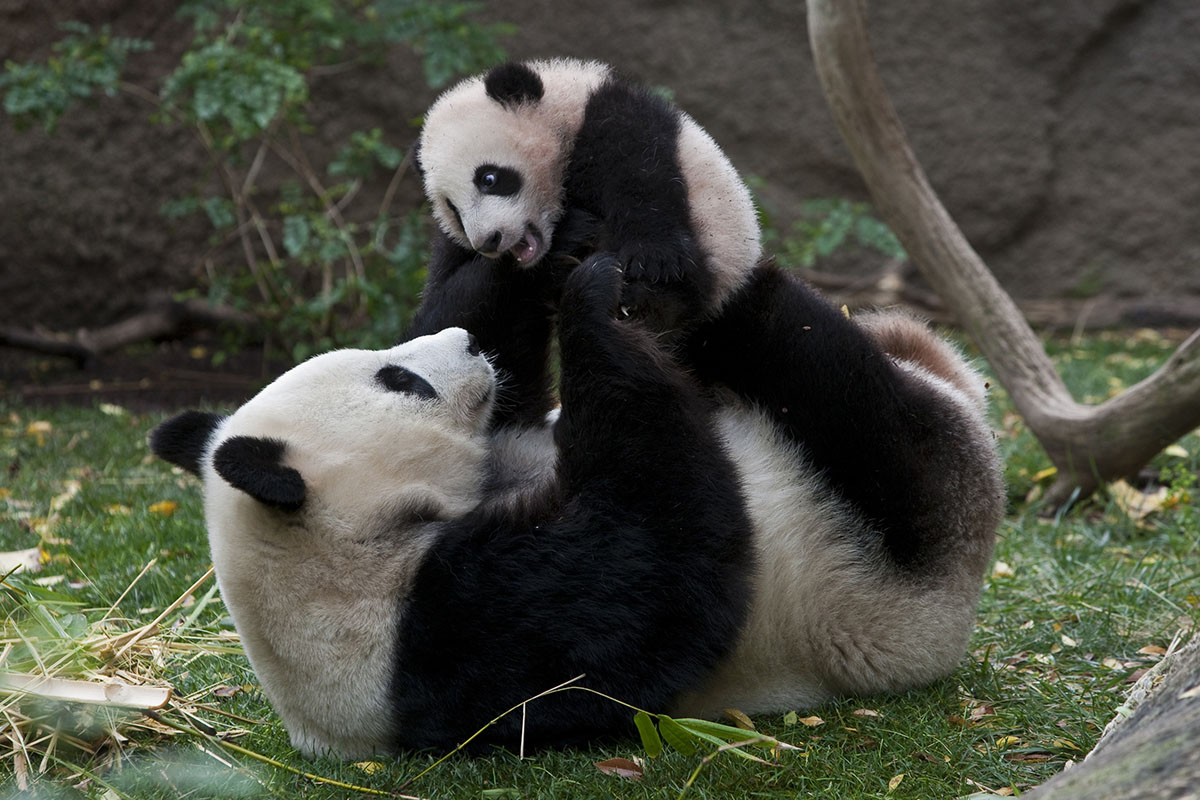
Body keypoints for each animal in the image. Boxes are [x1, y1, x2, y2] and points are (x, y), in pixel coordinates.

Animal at [150, 252, 1002, 758]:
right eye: (400, 381)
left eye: (390, 360)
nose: (464, 346)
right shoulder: (458, 630)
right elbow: (665, 566)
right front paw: (591, 297)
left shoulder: (509, 447)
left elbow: (523, 388)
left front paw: (504, 260)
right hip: (901, 554)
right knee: (856, 405)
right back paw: (757, 292)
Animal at [414, 58, 762, 335]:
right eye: (453, 210)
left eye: (489, 178)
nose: (489, 241)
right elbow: (441, 318)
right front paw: (572, 235)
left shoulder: (615, 120)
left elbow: (641, 175)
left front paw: (652, 259)